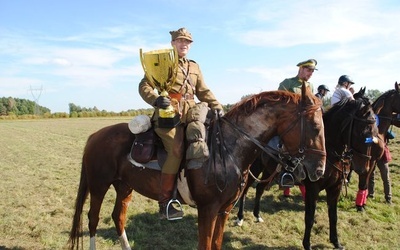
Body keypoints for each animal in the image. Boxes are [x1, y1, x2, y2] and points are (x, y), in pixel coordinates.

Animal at [68, 82, 324, 250]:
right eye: (315, 126)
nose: (319, 170)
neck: (228, 149)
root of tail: (95, 135)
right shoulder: (207, 210)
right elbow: (205, 244)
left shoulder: (224, 210)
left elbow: (217, 244)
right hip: (99, 185)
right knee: (92, 218)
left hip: (124, 186)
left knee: (117, 217)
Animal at [236, 96, 380, 250]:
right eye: (364, 132)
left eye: (375, 132)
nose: (365, 168)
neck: (328, 151)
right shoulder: (313, 189)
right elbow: (309, 218)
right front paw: (307, 244)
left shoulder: (335, 188)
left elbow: (333, 216)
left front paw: (336, 242)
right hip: (255, 169)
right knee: (245, 190)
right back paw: (240, 218)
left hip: (269, 171)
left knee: (260, 189)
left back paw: (257, 215)